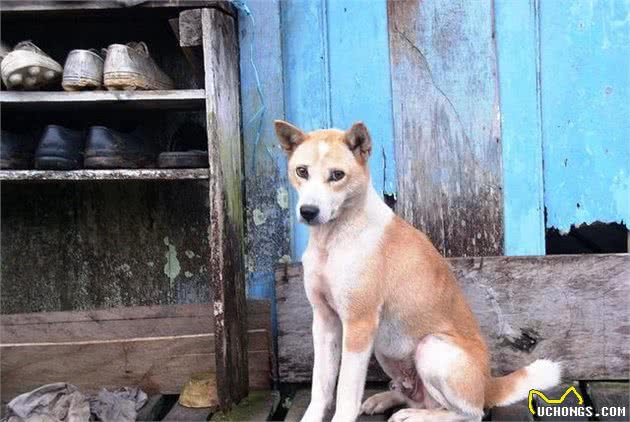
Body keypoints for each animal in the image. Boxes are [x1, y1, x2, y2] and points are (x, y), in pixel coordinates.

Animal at [276, 120, 564, 422]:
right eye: (302, 171)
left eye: (337, 175)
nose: (308, 211)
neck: (333, 239)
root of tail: (488, 385)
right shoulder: (324, 321)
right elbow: (321, 383)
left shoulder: (359, 324)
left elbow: (345, 389)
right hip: (386, 348)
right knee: (418, 397)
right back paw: (387, 400)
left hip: (430, 348)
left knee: (470, 413)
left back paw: (415, 416)